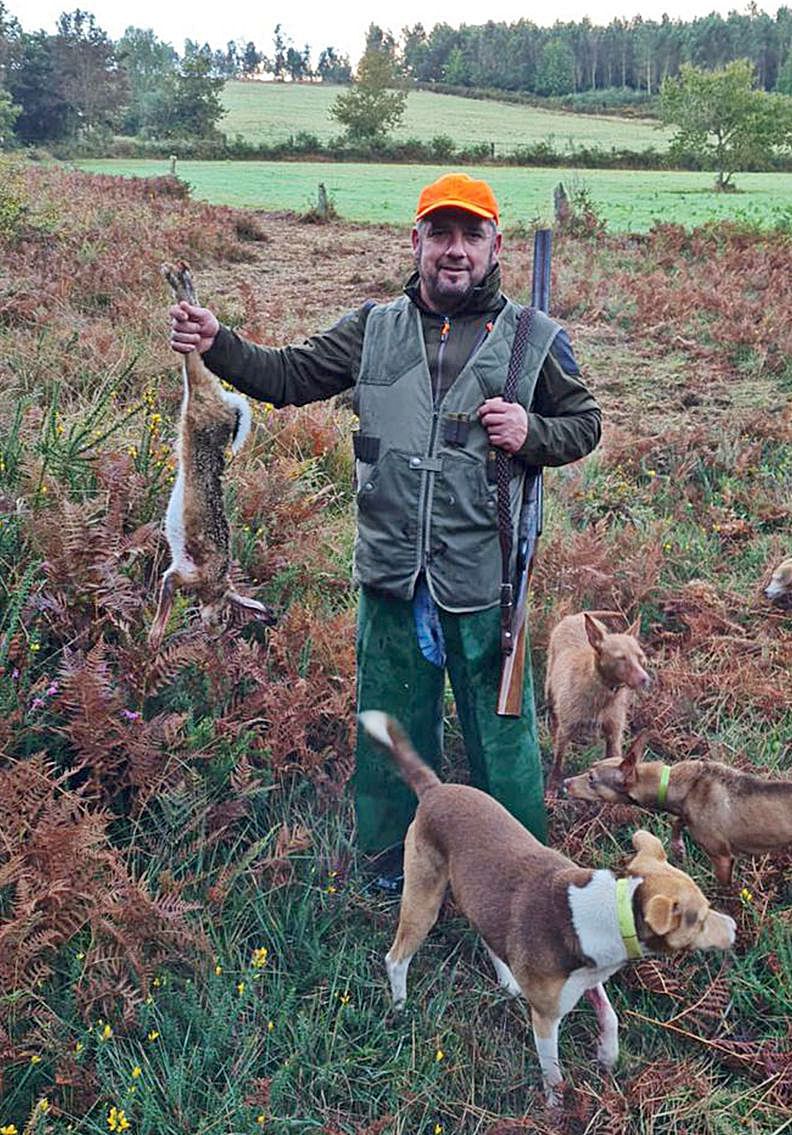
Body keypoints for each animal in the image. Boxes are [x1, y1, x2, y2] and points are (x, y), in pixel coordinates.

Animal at [358, 712, 735, 1103]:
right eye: (699, 919)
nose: (735, 928)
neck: (613, 908)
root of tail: (434, 789)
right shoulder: (545, 1018)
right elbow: (552, 1071)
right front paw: (557, 1106)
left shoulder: (589, 976)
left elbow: (610, 1016)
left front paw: (607, 1054)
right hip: (423, 899)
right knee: (396, 958)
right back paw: (400, 1008)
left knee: (488, 935)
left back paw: (507, 981)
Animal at [542, 612, 649, 789]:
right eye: (621, 658)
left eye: (640, 657)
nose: (645, 679)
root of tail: (576, 616)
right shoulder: (566, 730)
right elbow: (558, 761)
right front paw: (552, 786)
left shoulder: (614, 734)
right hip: (550, 693)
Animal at [560, 735, 789, 885]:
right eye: (590, 767)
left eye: (592, 779)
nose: (564, 782)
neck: (679, 784)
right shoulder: (685, 814)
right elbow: (676, 821)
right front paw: (678, 846)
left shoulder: (722, 858)